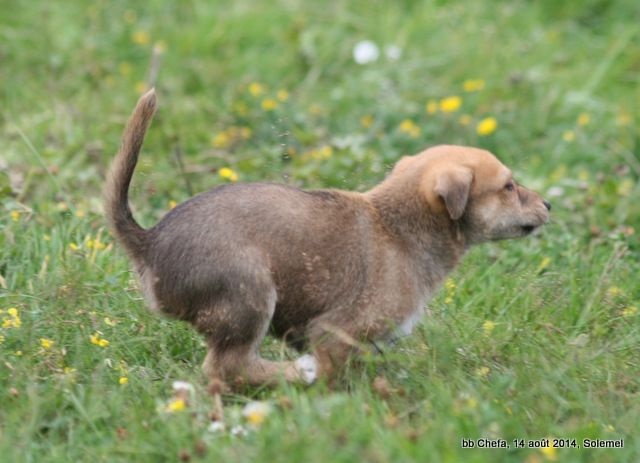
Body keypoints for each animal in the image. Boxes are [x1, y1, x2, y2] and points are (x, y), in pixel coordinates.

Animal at [105, 89, 550, 387]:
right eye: (509, 187)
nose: (548, 204)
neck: (401, 227)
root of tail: (149, 242)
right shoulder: (334, 333)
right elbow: (336, 381)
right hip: (249, 294)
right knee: (228, 366)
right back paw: (294, 374)